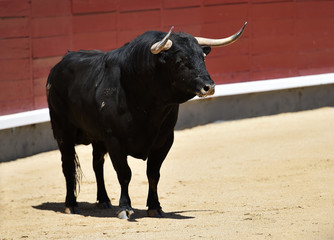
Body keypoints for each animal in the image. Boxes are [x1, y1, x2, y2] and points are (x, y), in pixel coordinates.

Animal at [46, 23, 245, 219]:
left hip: (97, 137)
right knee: (68, 166)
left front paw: (155, 207)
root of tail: (59, 65)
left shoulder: (164, 140)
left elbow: (153, 174)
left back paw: (103, 200)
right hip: (62, 131)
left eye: (202, 58)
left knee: (97, 164)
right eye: (180, 61)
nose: (208, 87)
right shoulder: (115, 141)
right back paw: (71, 205)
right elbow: (124, 173)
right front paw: (125, 208)